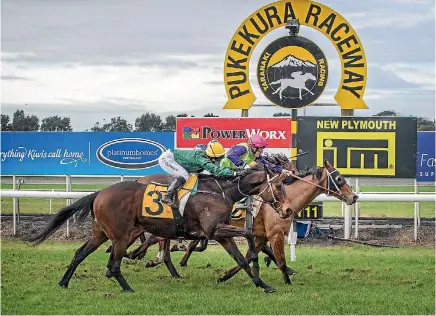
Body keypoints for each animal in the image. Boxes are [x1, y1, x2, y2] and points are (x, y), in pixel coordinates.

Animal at [29, 168, 292, 294]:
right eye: (279, 185)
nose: (289, 210)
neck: (221, 192)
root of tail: (100, 192)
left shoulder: (218, 233)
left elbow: (241, 258)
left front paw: (262, 284)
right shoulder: (214, 230)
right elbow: (248, 236)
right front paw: (260, 264)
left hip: (100, 233)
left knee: (80, 254)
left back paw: (64, 282)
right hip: (121, 235)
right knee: (113, 264)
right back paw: (128, 288)